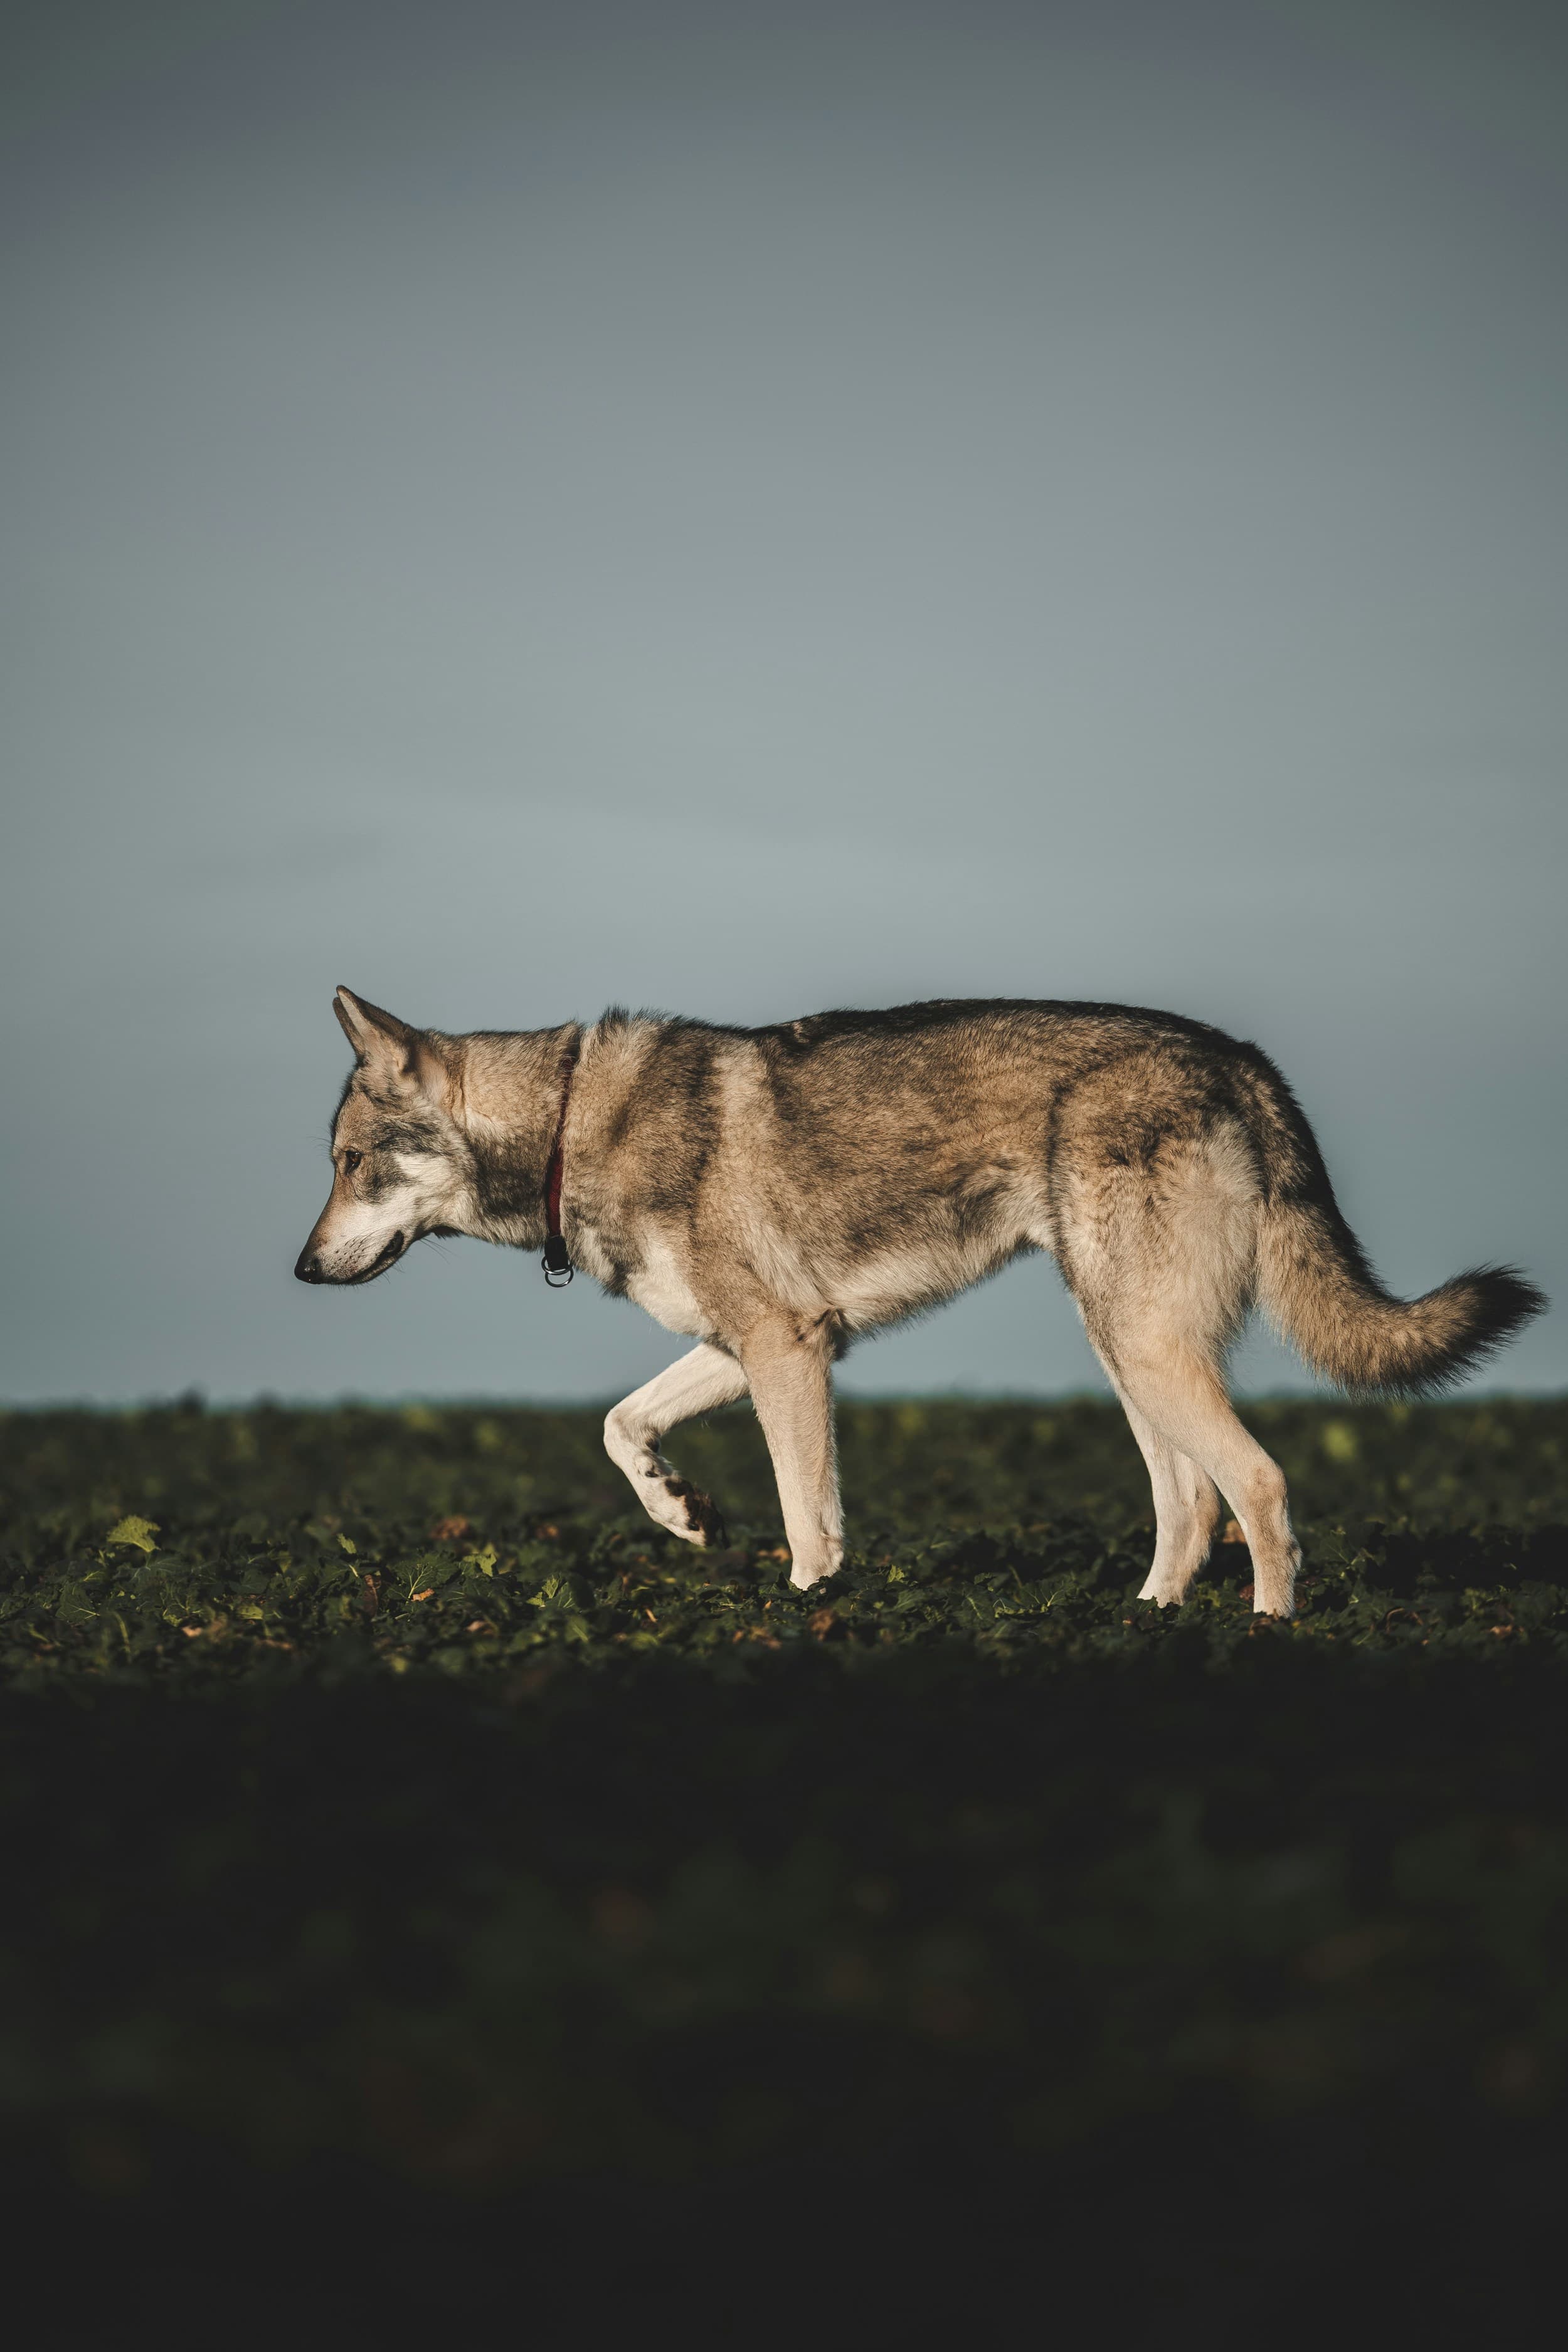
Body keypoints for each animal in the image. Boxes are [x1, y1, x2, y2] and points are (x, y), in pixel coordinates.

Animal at [295, 989, 1544, 1616]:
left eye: (351, 1164)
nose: (300, 1272)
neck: (566, 1125)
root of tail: (1241, 1058)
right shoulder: (762, 1345)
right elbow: (618, 1424)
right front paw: (681, 1512)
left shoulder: (785, 1350)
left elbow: (809, 1522)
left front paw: (808, 1617)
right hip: (1127, 1352)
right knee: (1192, 1505)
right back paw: (1145, 1628)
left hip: (1142, 1347)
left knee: (1262, 1487)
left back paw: (1264, 1641)